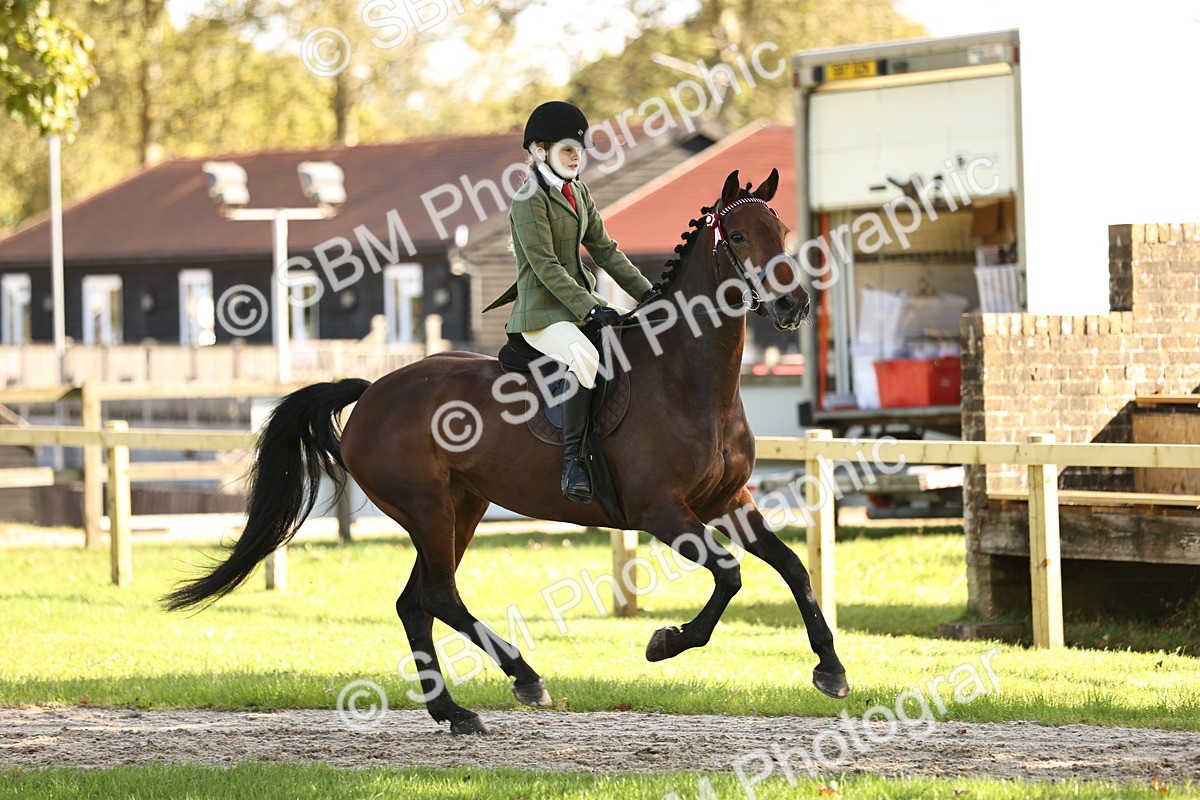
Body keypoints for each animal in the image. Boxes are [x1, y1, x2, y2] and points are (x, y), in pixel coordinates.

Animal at [163, 168, 849, 734]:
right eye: (738, 234)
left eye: (782, 230)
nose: (793, 304)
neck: (687, 377)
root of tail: (375, 389)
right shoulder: (662, 511)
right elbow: (730, 573)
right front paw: (665, 642)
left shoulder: (730, 501)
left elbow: (794, 568)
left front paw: (831, 669)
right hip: (429, 509)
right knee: (438, 597)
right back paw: (524, 677)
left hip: (460, 508)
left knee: (416, 603)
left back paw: (454, 711)